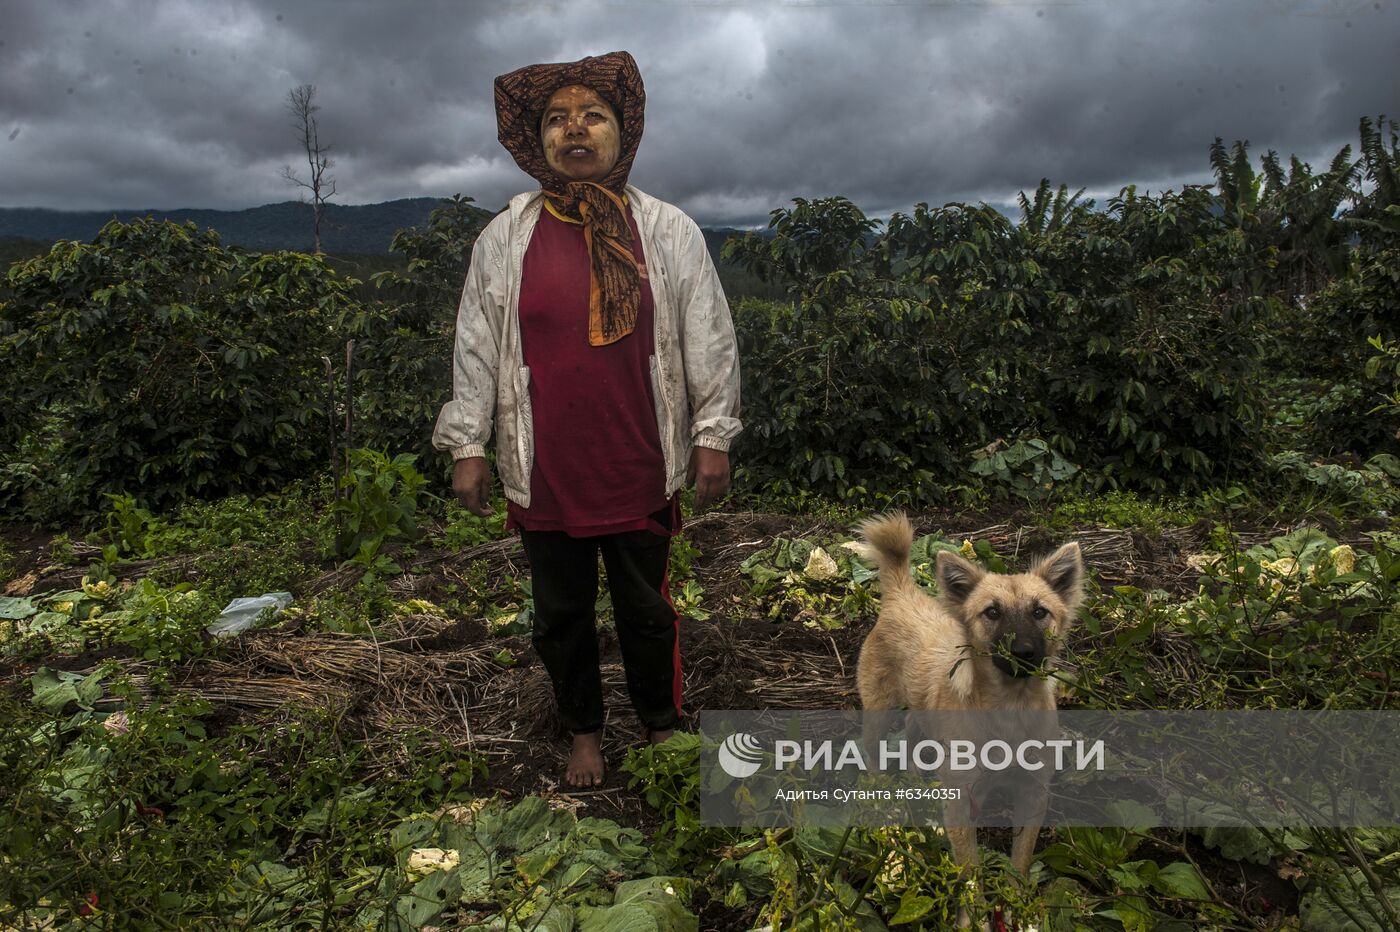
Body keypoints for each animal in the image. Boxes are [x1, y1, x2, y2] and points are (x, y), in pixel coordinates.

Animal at [851, 514, 1080, 912]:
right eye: (992, 612)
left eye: (1040, 612)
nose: (1022, 652)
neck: (1009, 710)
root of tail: (903, 593)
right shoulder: (963, 800)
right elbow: (970, 871)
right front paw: (973, 915)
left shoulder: (1032, 794)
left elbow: (1020, 860)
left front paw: (1015, 905)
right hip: (878, 711)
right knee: (875, 754)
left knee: (914, 729)